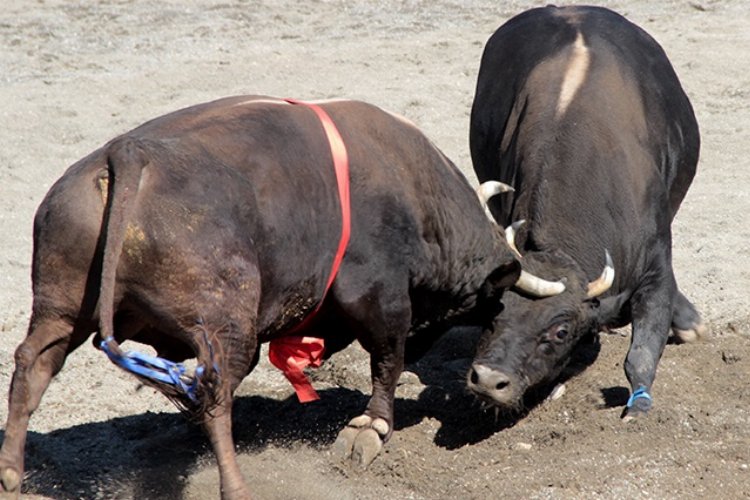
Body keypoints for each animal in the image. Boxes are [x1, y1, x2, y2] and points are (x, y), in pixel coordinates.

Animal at [0, 97, 524, 500]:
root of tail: (129, 154)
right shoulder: (380, 296)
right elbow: (386, 362)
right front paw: (370, 429)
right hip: (227, 326)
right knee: (216, 399)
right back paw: (235, 486)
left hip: (62, 309)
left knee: (32, 365)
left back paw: (11, 474)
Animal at [468, 3, 708, 418]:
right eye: (493, 310)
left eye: (560, 331)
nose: (487, 380)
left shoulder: (657, 265)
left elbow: (642, 353)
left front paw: (638, 410)